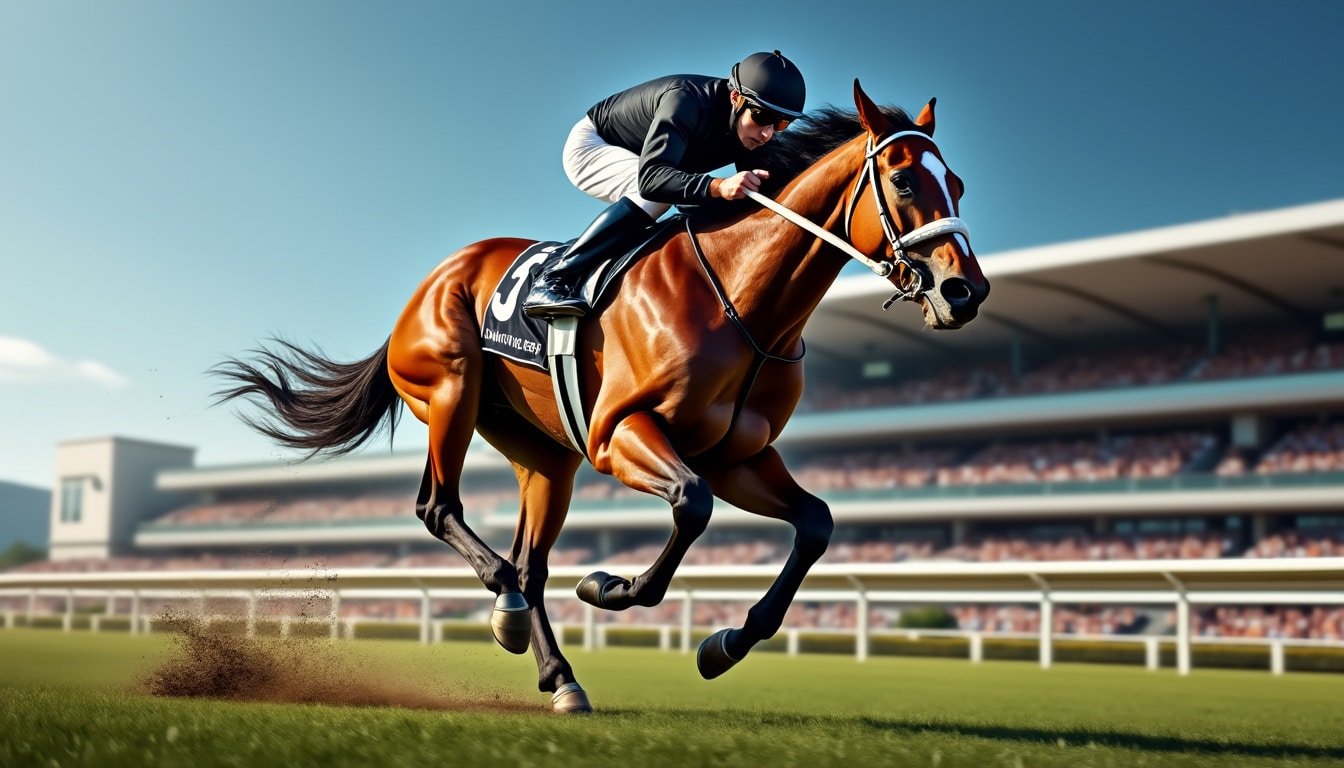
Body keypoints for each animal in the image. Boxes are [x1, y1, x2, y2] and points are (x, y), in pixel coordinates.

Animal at [213, 80, 990, 713]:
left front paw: (724, 645)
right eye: (903, 179)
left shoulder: (738, 456)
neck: (744, 298)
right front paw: (608, 588)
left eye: (957, 180)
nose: (966, 291)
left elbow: (816, 525)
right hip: (451, 389)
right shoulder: (621, 435)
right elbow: (691, 506)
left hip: (545, 455)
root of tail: (430, 283)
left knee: (531, 562)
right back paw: (508, 605)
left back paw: (557, 672)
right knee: (443, 510)